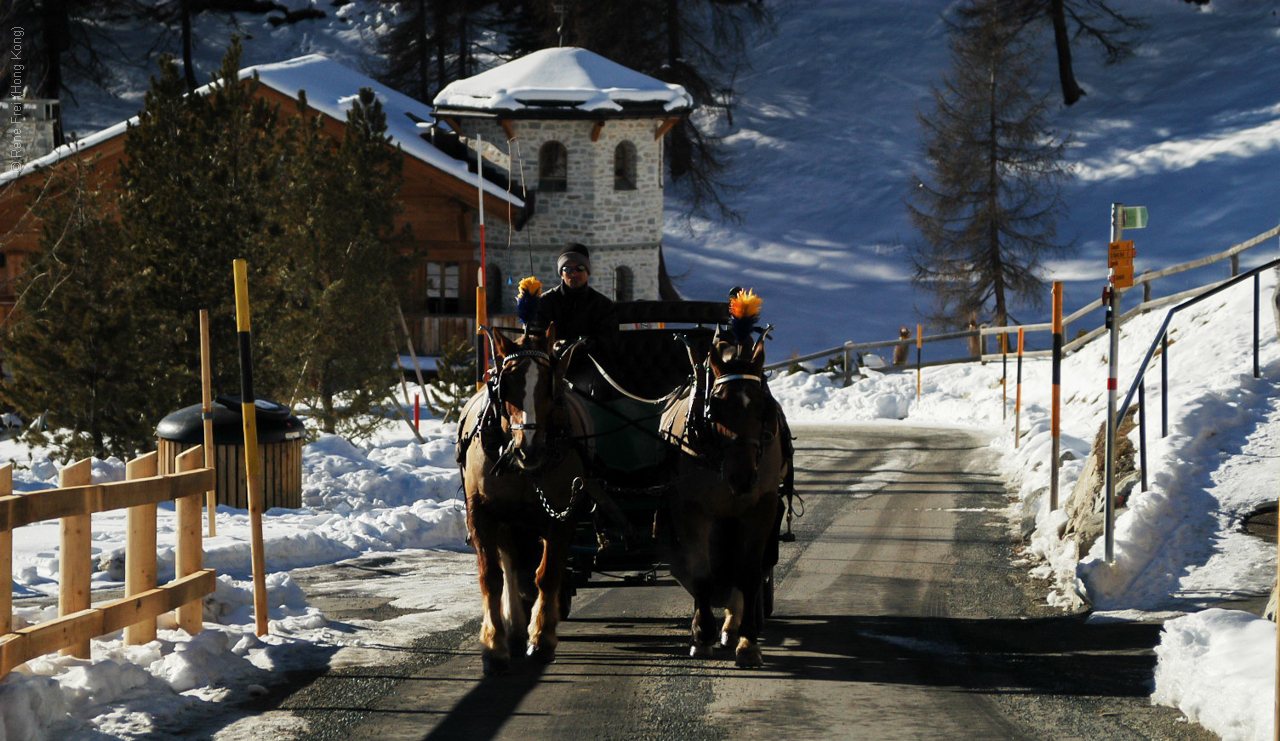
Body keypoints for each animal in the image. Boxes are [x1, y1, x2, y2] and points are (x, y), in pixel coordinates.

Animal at [458, 327, 591, 675]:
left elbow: (547, 574)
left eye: (548, 383)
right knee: (510, 566)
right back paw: (514, 631)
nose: (527, 448)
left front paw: (542, 639)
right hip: (508, 521)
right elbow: (491, 576)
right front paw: (494, 646)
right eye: (506, 383)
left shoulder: (562, 514)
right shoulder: (482, 514)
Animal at [660, 332, 788, 670]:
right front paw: (702, 636)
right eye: (715, 407)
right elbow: (702, 576)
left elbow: (749, 573)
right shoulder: (691, 511)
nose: (741, 477)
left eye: (763, 407)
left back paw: (732, 627)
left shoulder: (761, 509)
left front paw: (748, 643)